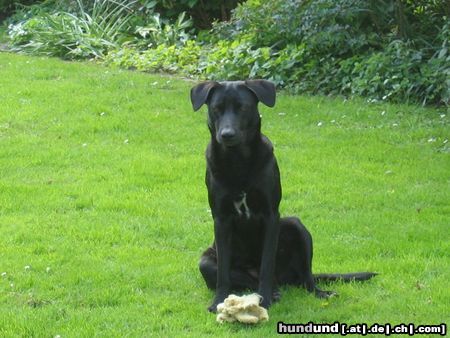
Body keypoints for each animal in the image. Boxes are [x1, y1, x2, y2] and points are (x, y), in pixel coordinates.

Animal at [191, 80, 376, 312]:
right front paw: (218, 302)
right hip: (205, 262)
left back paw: (312, 292)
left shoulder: (271, 216)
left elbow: (266, 264)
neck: (238, 160)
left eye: (243, 108)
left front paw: (265, 299)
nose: (227, 134)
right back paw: (272, 292)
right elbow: (223, 272)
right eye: (217, 108)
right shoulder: (221, 219)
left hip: (296, 226)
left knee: (306, 278)